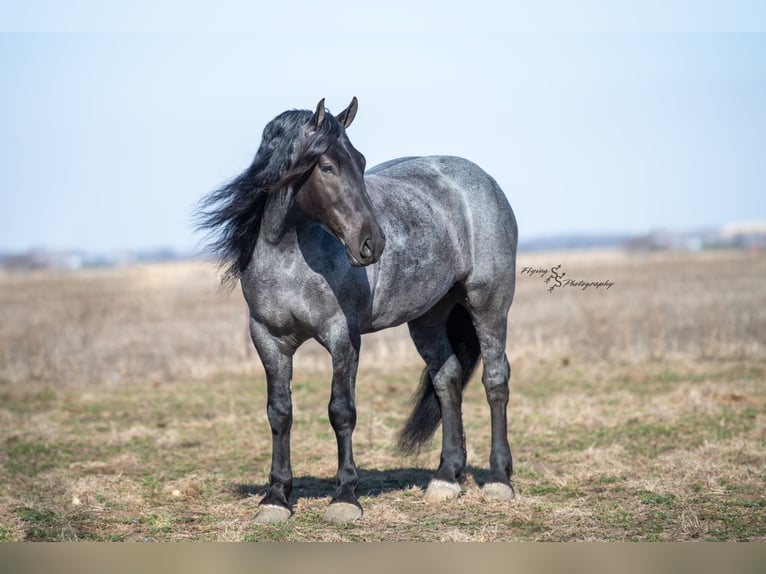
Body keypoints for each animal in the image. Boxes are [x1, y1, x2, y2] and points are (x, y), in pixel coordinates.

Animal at [197, 98, 518, 524]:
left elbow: (341, 411)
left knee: (495, 380)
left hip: (489, 303)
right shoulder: (268, 338)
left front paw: (345, 497)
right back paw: (446, 478)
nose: (372, 243)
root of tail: (482, 179)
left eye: (362, 162)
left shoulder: (342, 337)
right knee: (448, 380)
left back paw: (499, 478)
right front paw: (276, 498)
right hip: (428, 317)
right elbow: (279, 412)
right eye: (326, 167)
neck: (289, 257)